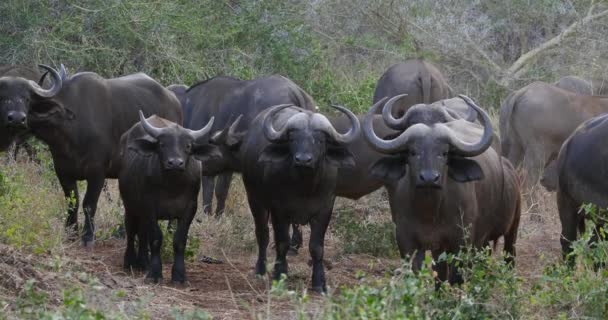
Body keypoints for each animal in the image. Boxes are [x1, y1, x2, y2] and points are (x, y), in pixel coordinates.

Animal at [0, 64, 180, 245]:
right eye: (3, 97)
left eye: (27, 99)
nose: (17, 118)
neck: (71, 129)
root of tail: (174, 100)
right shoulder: (62, 171)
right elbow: (72, 202)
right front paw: (71, 233)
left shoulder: (97, 172)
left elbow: (89, 203)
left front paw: (87, 236)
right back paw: (122, 231)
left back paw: (170, 232)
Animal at [117, 111, 217, 282]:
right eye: (162, 144)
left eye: (188, 146)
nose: (175, 163)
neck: (172, 187)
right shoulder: (149, 207)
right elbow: (156, 238)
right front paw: (155, 273)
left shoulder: (190, 209)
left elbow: (179, 240)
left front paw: (179, 275)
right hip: (130, 205)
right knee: (131, 230)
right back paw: (130, 262)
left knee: (142, 234)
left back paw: (144, 262)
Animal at [364, 94, 520, 284]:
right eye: (412, 152)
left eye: (444, 153)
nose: (429, 178)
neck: (430, 211)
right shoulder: (408, 240)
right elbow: (420, 273)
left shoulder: (461, 241)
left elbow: (455, 277)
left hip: (508, 229)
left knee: (508, 255)